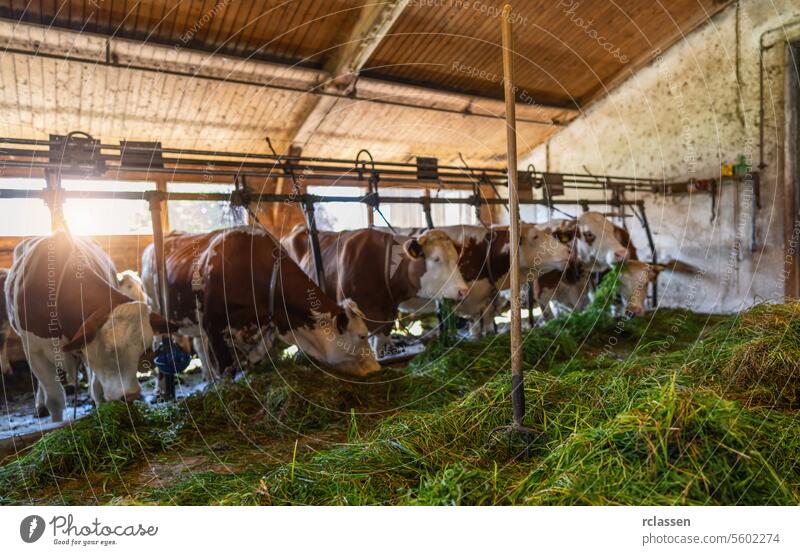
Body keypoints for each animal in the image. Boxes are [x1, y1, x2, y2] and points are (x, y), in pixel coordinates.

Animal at [6, 232, 172, 424]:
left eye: (143, 349)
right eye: (108, 348)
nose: (131, 395)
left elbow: (97, 390)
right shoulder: (34, 350)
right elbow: (55, 398)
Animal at [141, 225, 382, 378]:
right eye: (362, 336)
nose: (377, 368)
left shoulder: (266, 324)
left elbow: (255, 357)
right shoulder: (212, 324)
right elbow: (227, 368)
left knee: (199, 347)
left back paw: (209, 380)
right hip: (156, 309)